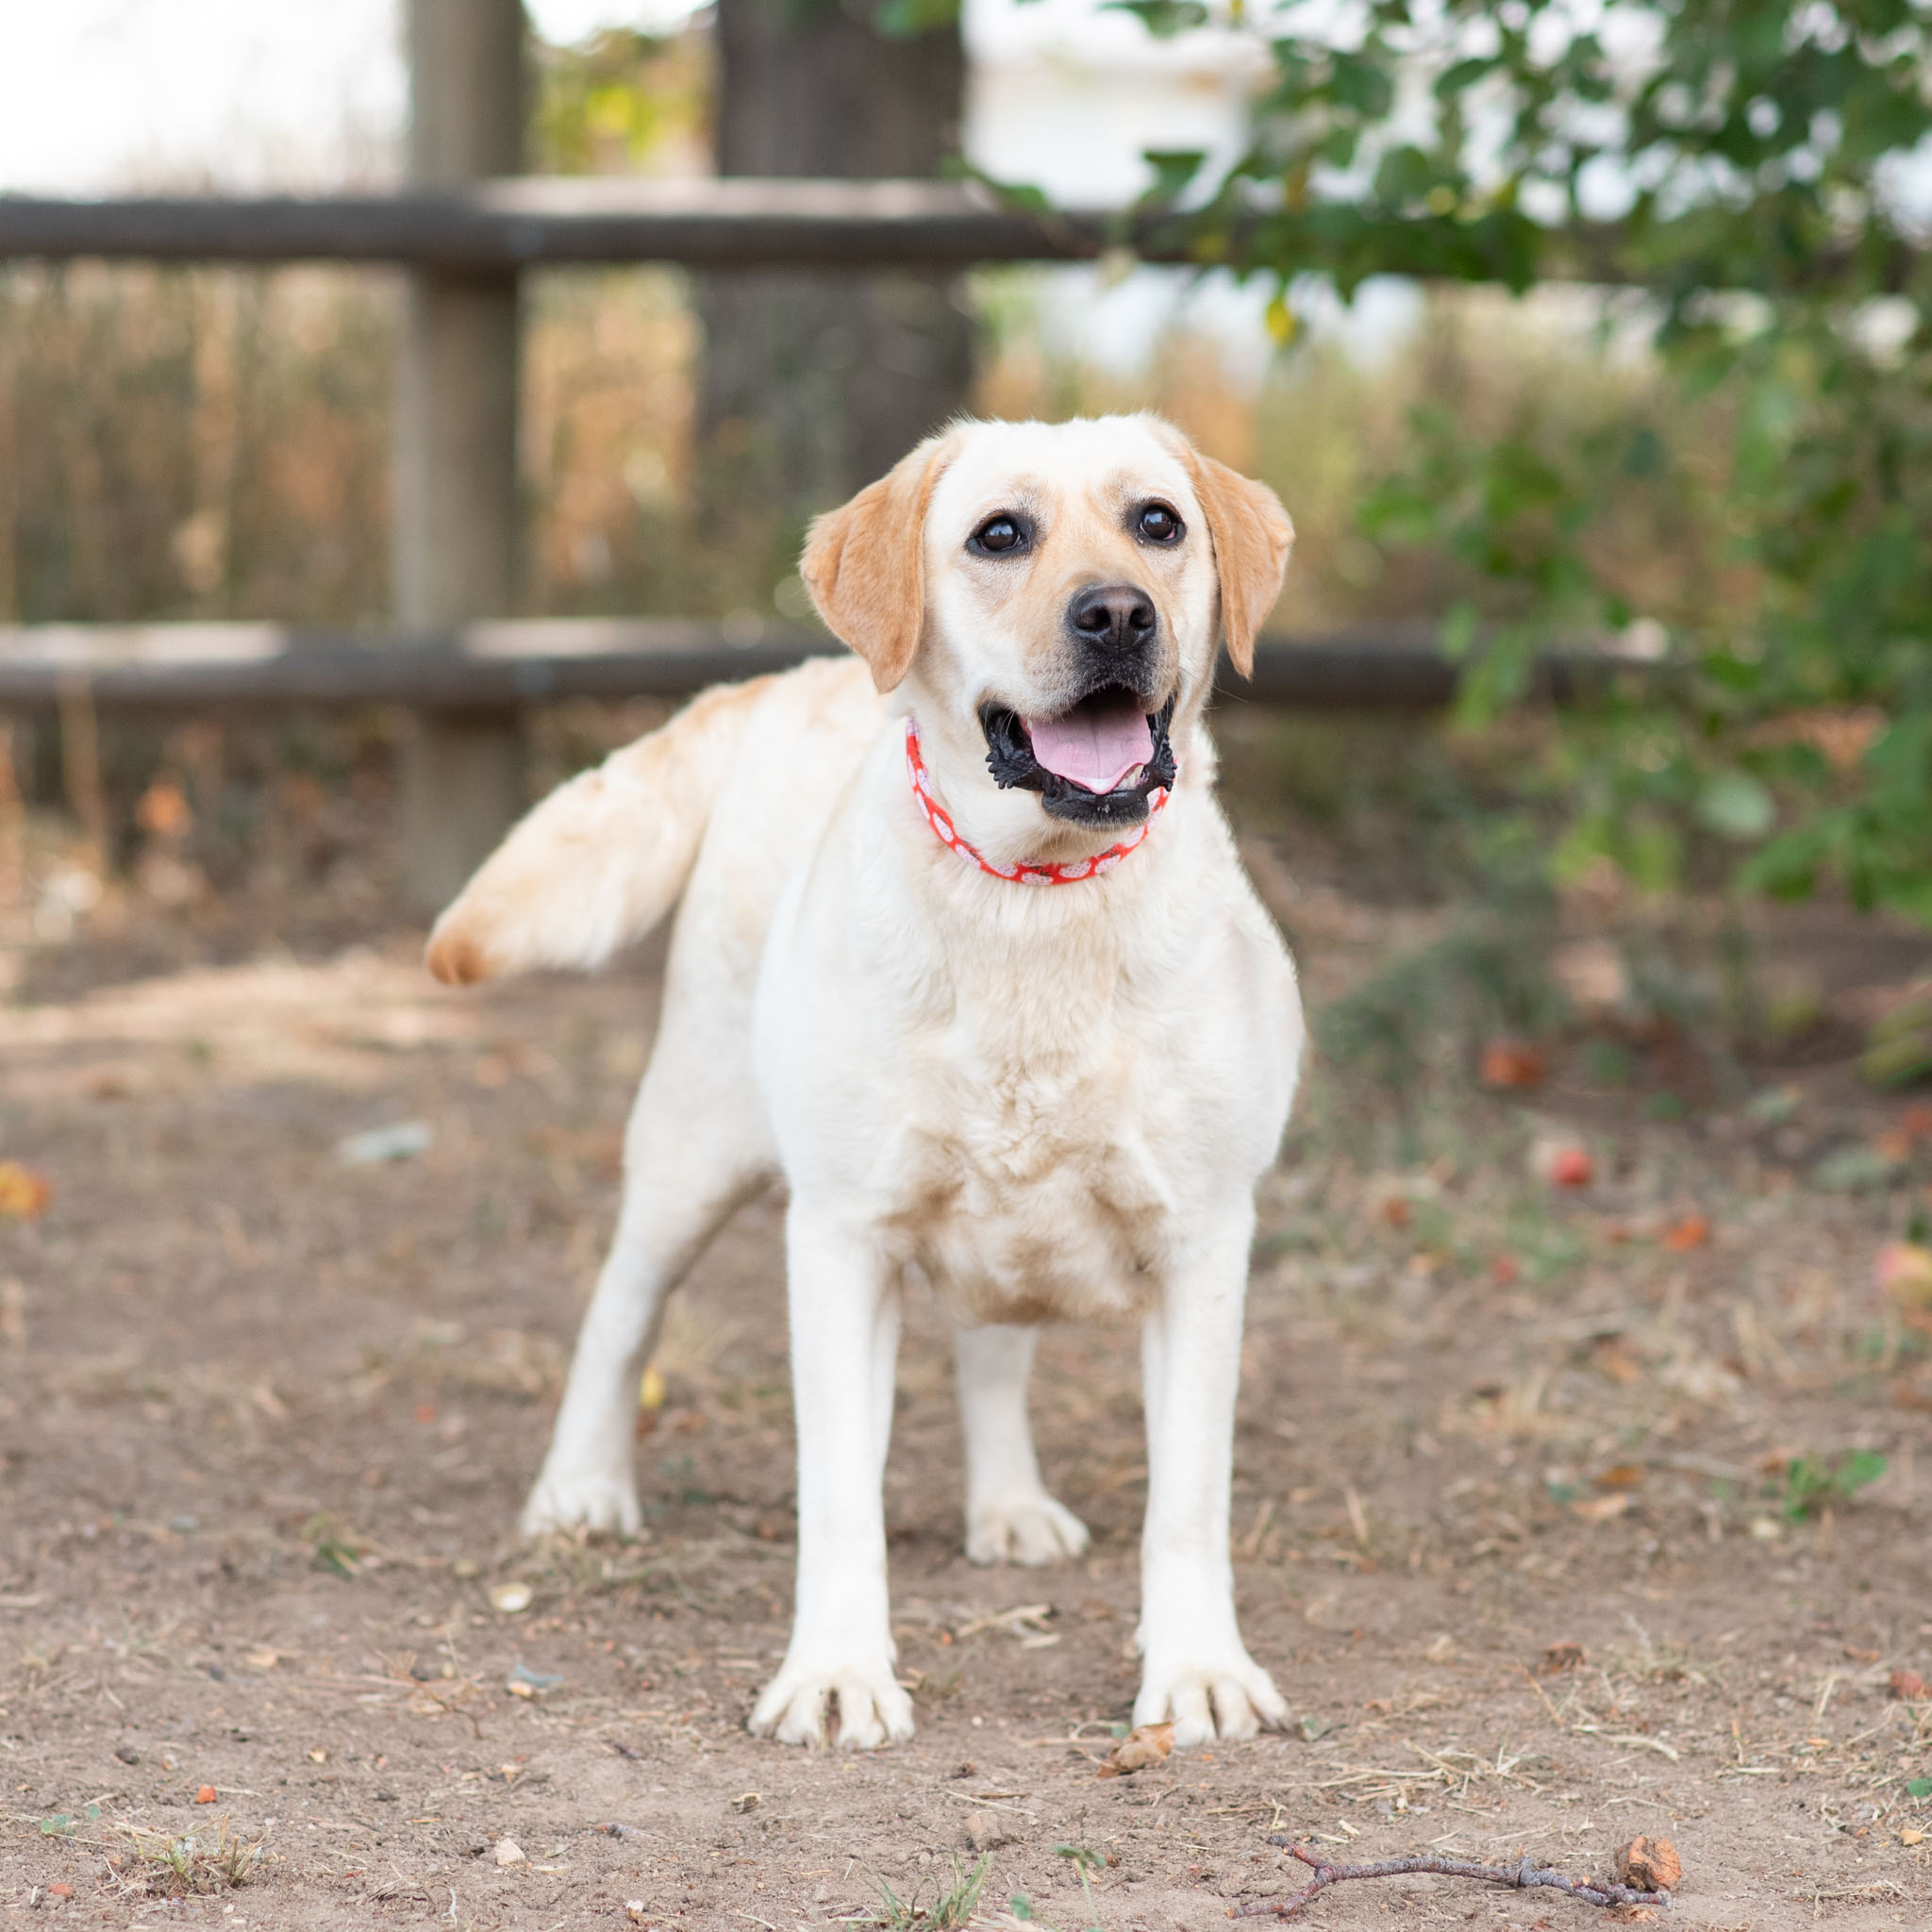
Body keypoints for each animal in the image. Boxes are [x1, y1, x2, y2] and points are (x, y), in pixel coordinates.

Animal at [432, 411, 1306, 1754]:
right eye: (999, 534)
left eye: (1157, 522)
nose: (1117, 612)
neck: (1034, 898)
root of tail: (781, 679)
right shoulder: (839, 1240)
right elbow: (839, 1491)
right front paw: (837, 1671)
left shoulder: (1204, 1240)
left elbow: (1186, 1499)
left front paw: (1197, 1669)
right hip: (691, 1146)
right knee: (619, 1308)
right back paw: (580, 1482)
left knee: (991, 1350)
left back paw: (1008, 1503)